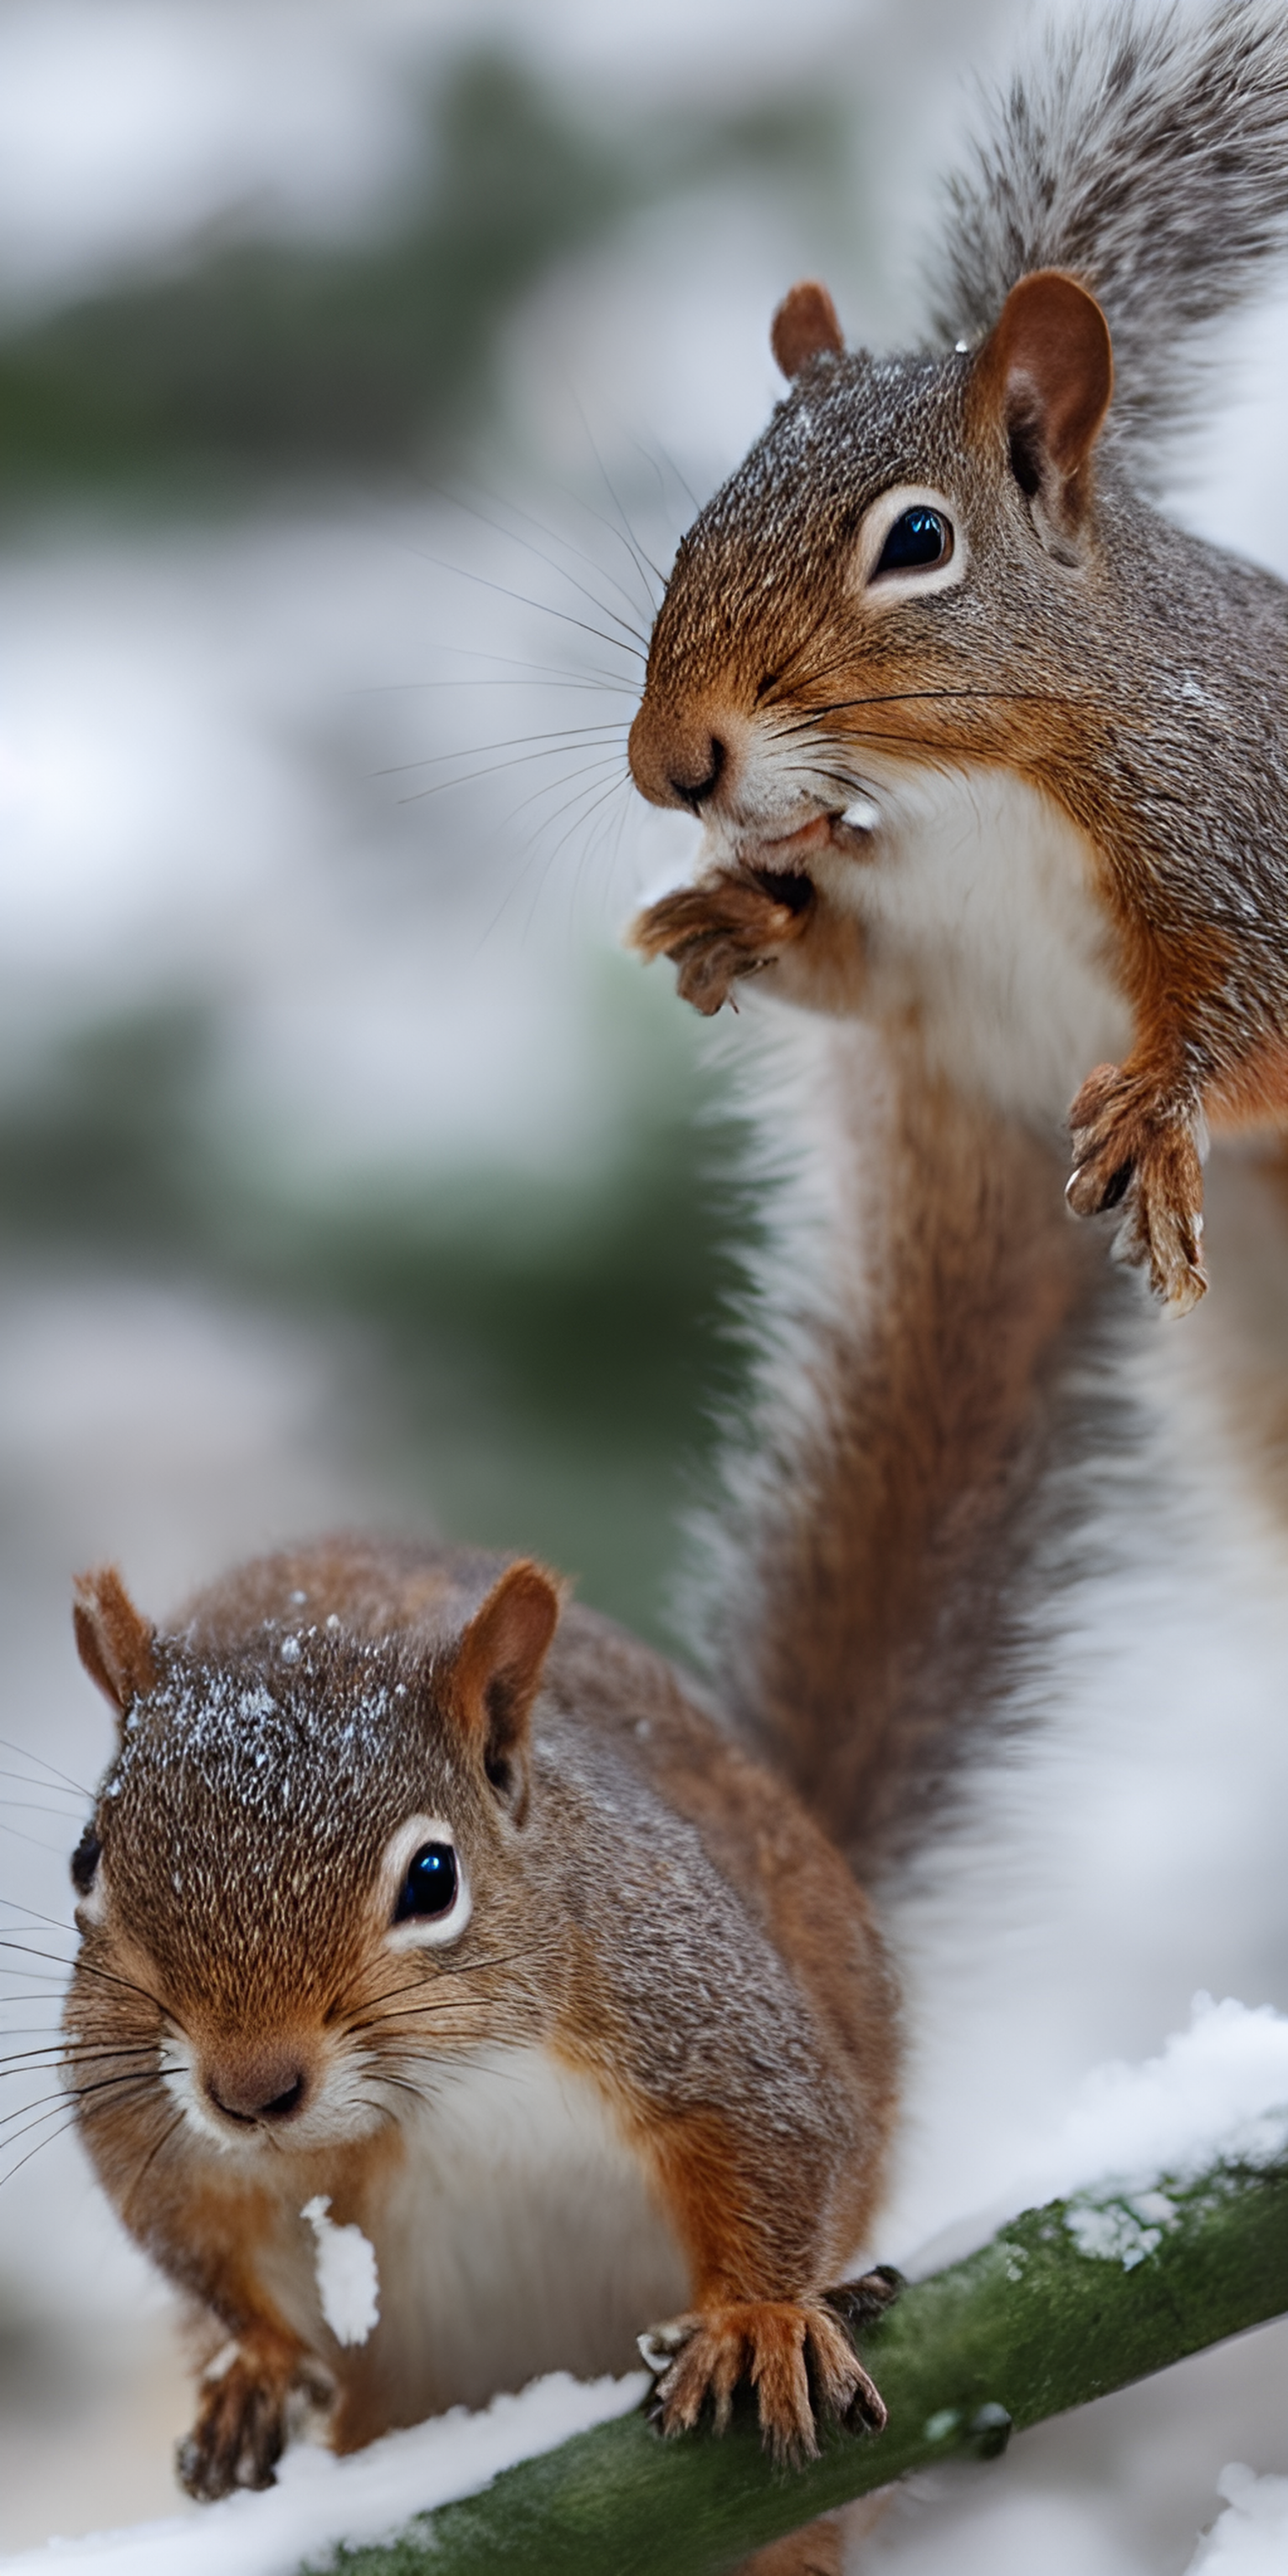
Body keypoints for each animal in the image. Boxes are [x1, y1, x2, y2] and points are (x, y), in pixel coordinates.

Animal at [628, 0, 1288, 1318]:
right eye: (697, 525)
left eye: (919, 542)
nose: (664, 764)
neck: (972, 795)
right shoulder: (927, 952)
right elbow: (855, 978)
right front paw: (737, 917)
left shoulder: (1231, 830)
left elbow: (1248, 1015)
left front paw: (1157, 1109)